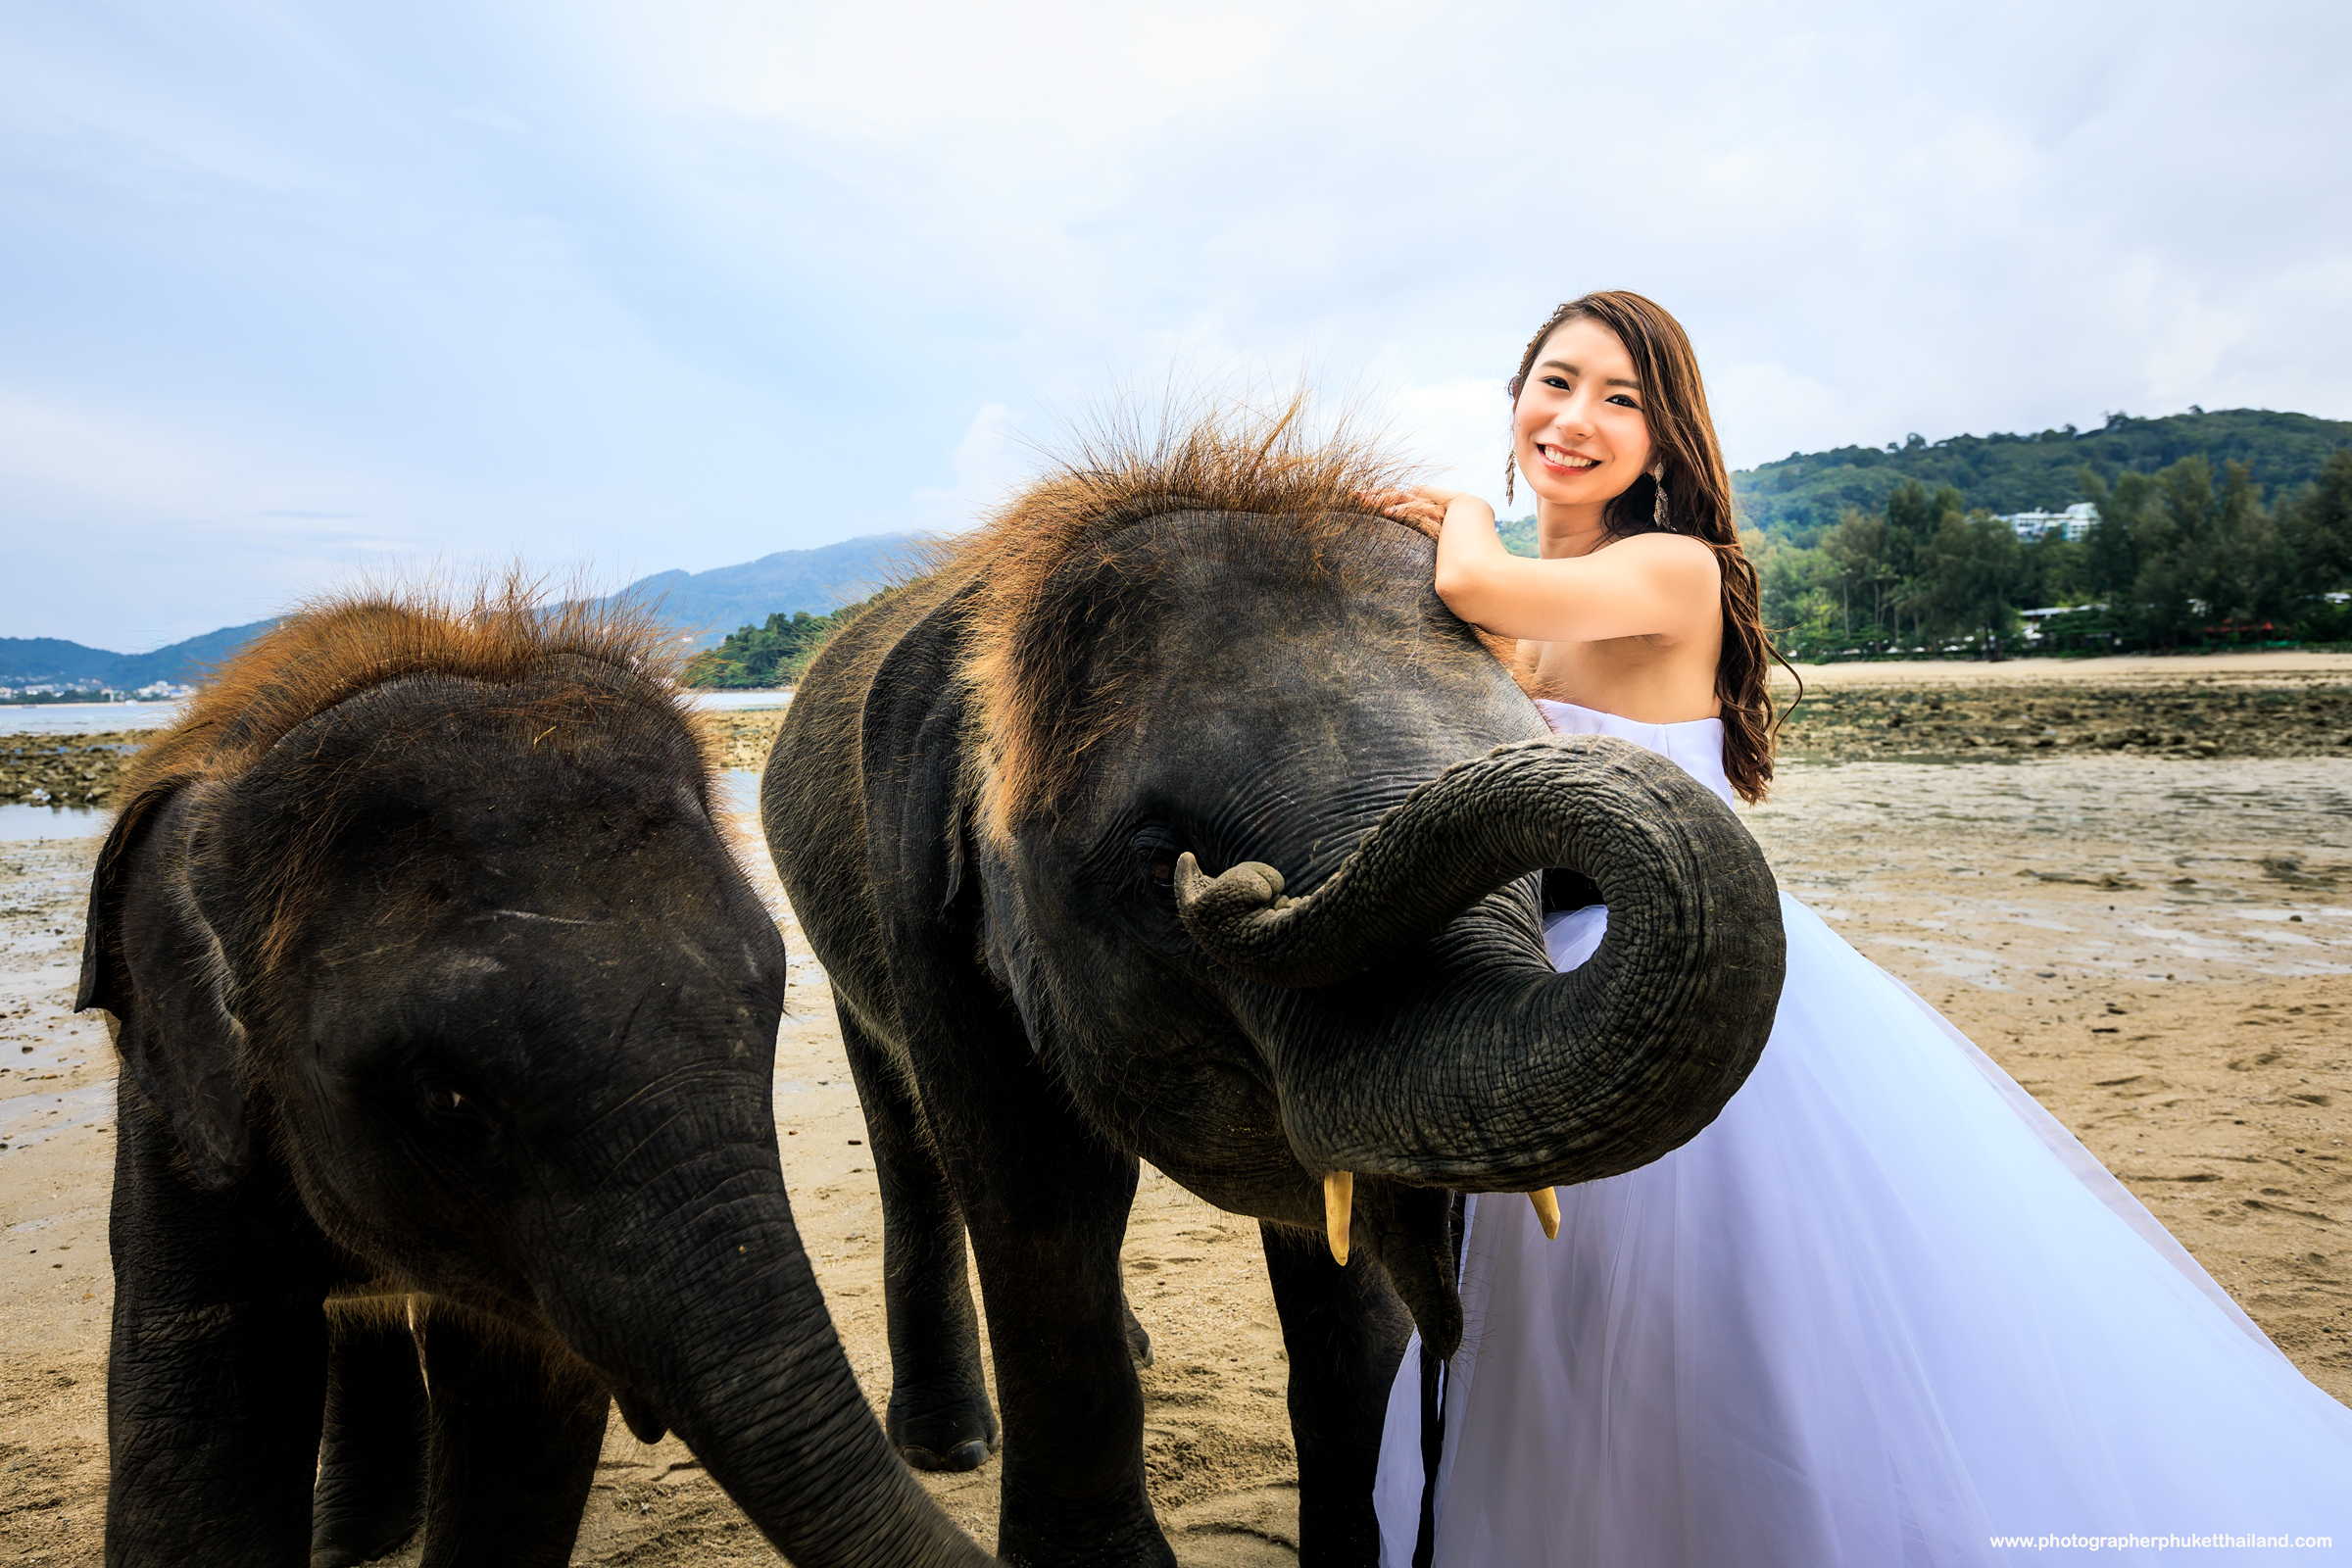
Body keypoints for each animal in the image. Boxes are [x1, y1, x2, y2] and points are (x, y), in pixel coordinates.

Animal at [78, 590, 992, 1568]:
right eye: (446, 1099)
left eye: (767, 1018)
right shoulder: (176, 1117)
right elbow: (201, 1415)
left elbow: (521, 1426)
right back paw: (347, 1542)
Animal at [759, 412, 1787, 1567]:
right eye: (1157, 858)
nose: (1229, 884)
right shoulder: (923, 898)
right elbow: (1033, 1189)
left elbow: (1343, 1238)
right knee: (912, 1138)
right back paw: (950, 1445)